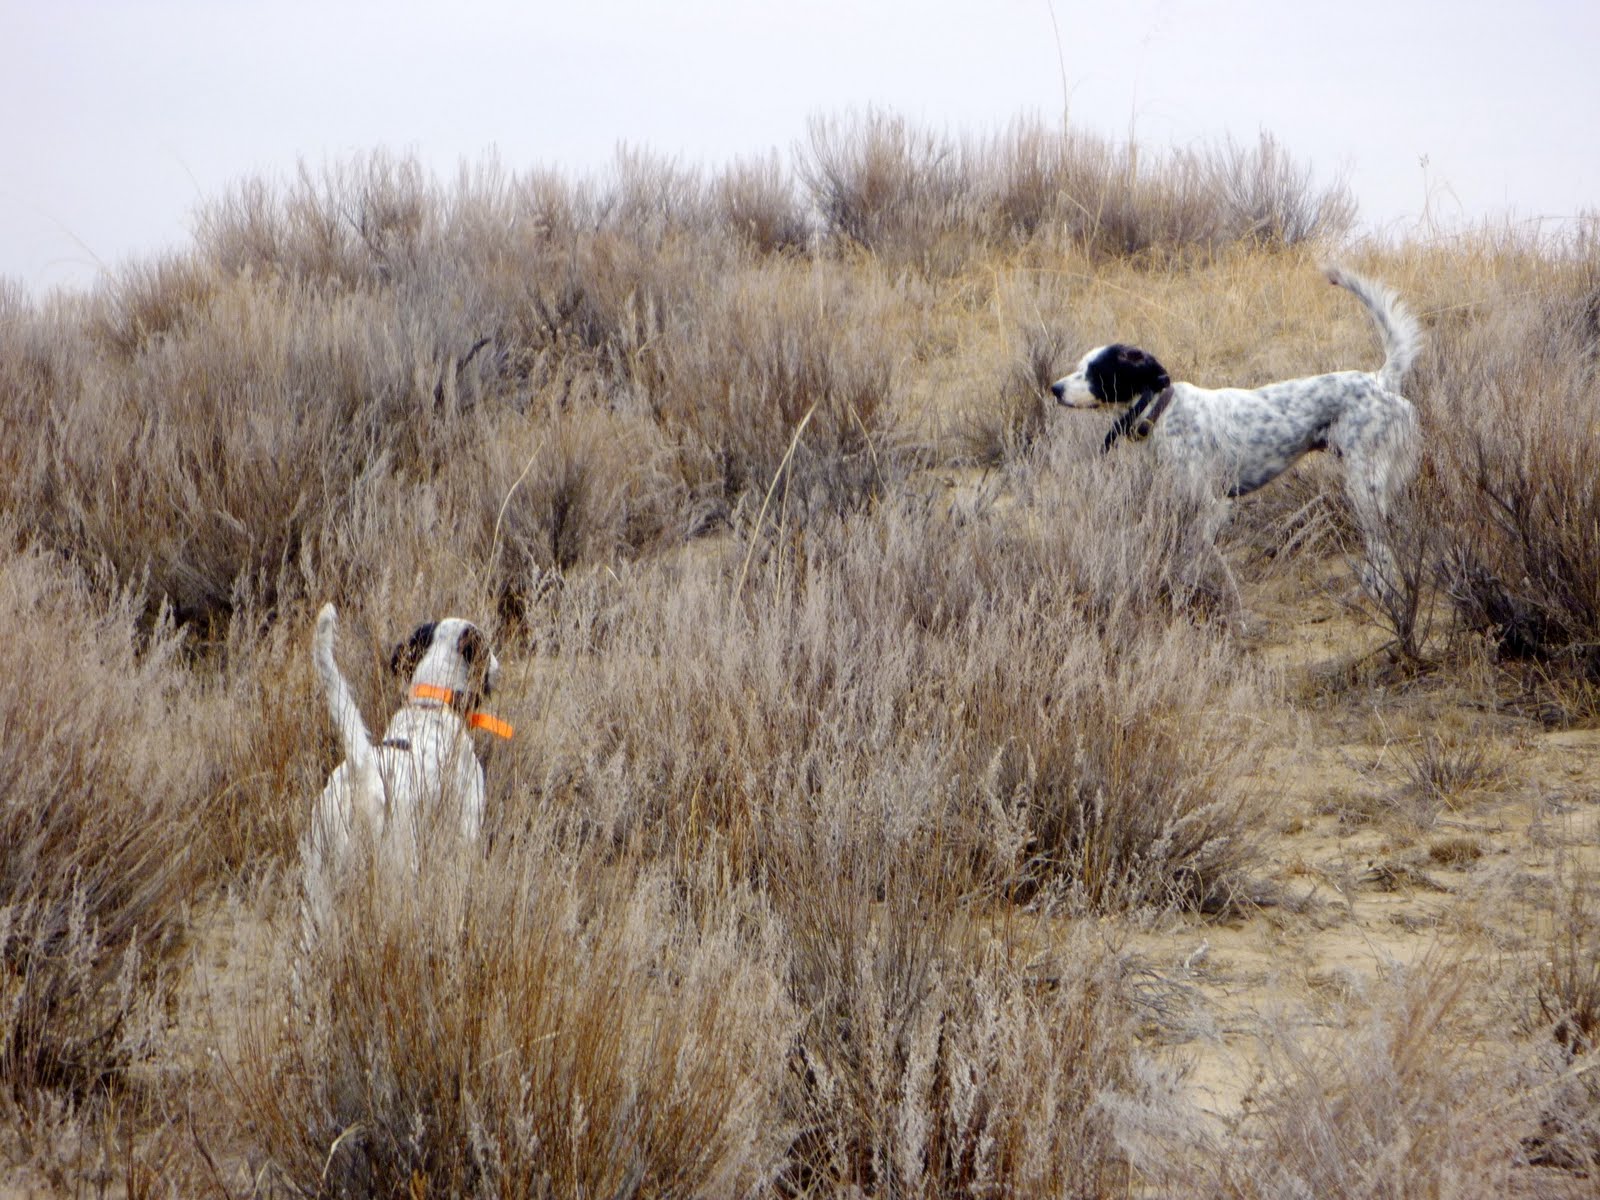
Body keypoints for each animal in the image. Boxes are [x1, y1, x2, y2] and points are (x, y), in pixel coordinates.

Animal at [300, 603, 512, 938]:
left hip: (317, 887)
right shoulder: (464, 832)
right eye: (487, 647)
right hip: (396, 865)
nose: (497, 665)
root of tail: (362, 767)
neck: (430, 704)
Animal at [1051, 268, 1422, 594]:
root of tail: (1379, 379)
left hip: (1364, 485)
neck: (1164, 409)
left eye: (1095, 372)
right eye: (1080, 367)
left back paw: (1380, 590)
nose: (1054, 388)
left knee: (1381, 543)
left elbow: (1193, 553)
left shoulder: (1213, 506)